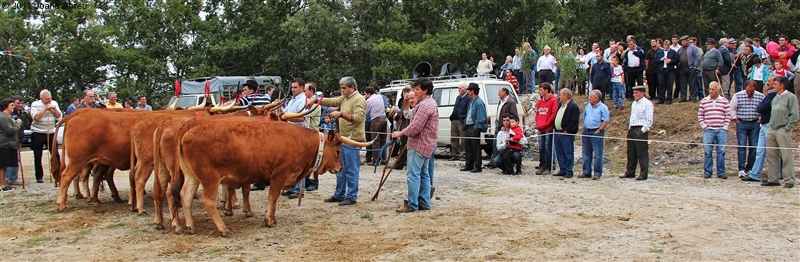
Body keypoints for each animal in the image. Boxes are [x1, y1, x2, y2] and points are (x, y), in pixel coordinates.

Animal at [177, 116, 368, 235]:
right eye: (337, 151)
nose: (339, 168)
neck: (300, 142)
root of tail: (190, 128)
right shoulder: (279, 176)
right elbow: (273, 197)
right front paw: (269, 219)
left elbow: (273, 200)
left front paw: (272, 218)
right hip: (210, 179)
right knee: (207, 201)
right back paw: (223, 228)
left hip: (192, 176)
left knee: (185, 196)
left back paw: (190, 226)